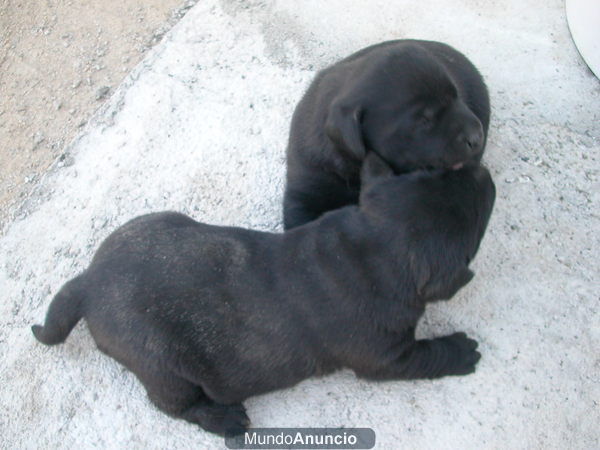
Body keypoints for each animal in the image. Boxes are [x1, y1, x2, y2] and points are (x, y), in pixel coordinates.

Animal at [31, 155, 496, 436]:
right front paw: (460, 350)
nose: (481, 172)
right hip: (162, 366)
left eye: (437, 174)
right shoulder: (386, 355)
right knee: (175, 405)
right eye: (475, 224)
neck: (367, 248)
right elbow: (426, 356)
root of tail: (89, 281)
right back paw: (226, 419)